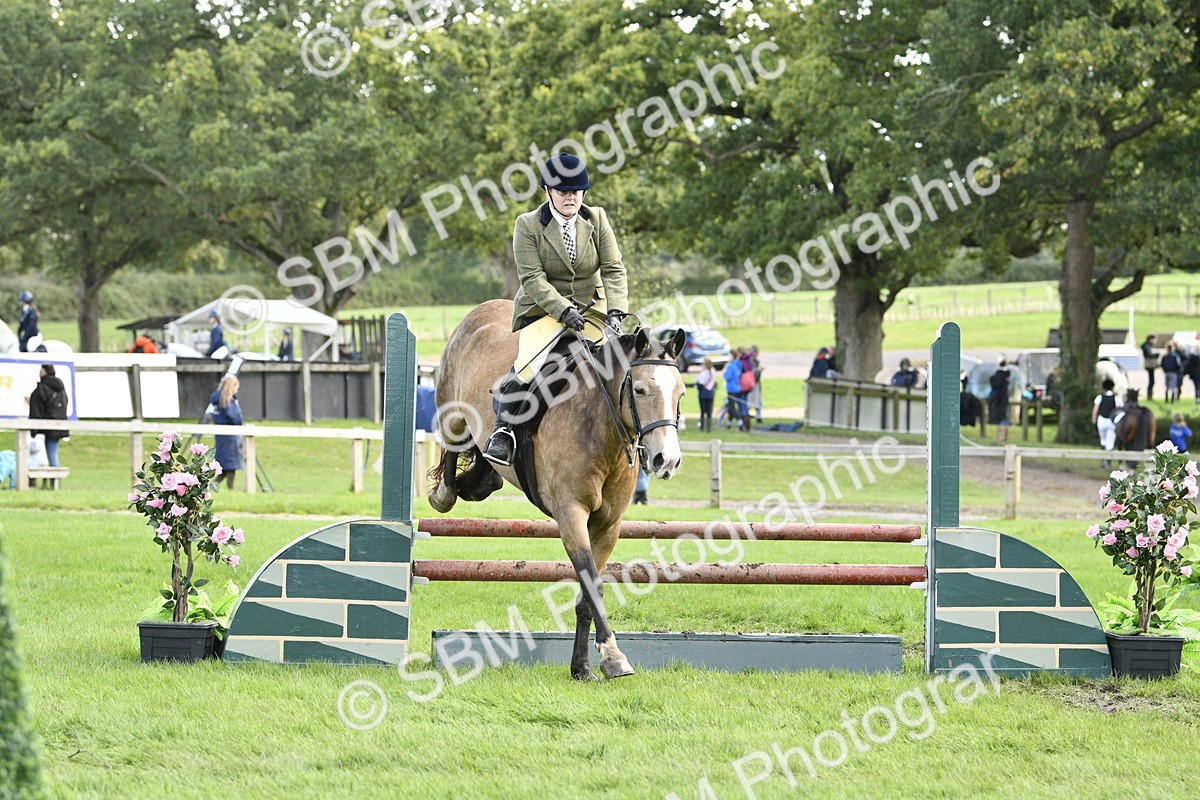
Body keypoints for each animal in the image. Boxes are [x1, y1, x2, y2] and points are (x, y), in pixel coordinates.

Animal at [428, 299, 686, 680]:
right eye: (639, 390)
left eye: (680, 392)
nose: (666, 460)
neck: (601, 427)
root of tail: (483, 309)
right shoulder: (571, 514)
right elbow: (591, 584)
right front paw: (614, 657)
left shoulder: (608, 525)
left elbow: (586, 596)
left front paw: (583, 666)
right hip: (454, 412)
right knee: (451, 444)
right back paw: (443, 494)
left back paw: (482, 480)